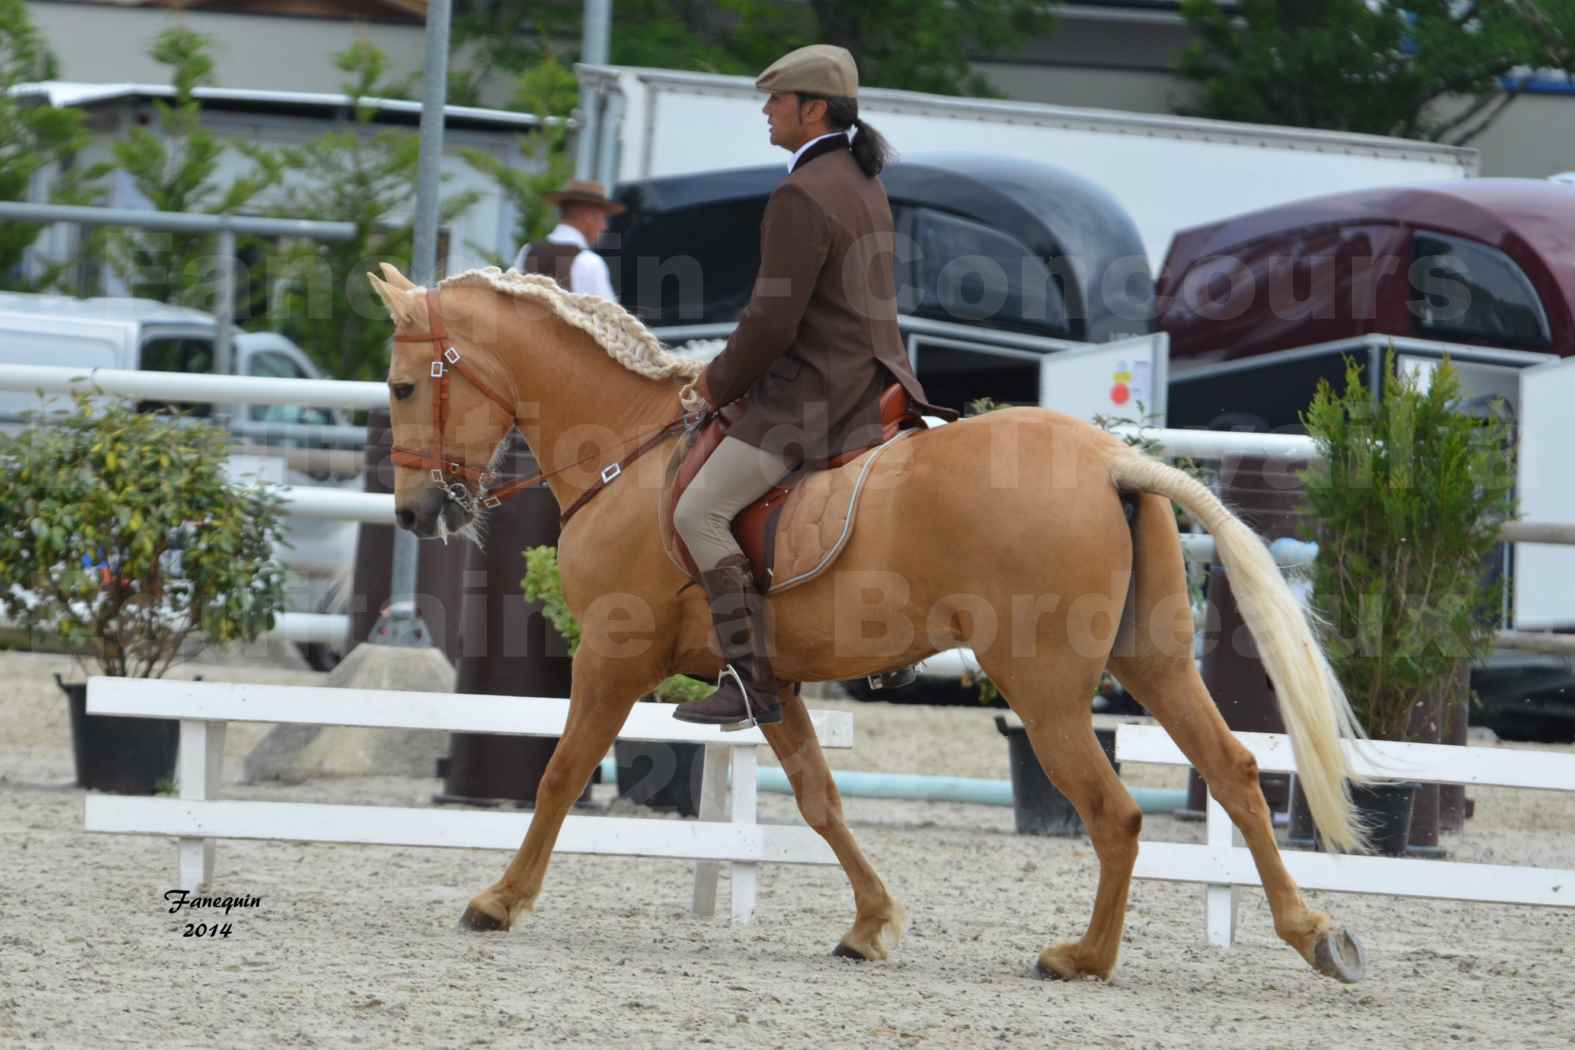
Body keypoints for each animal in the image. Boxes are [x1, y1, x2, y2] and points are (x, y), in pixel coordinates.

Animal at [368, 262, 1367, 988]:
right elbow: (819, 799)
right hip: (1153, 663)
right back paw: (1315, 934)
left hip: (1043, 691)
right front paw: (872, 923)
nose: (416, 515)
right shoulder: (769, 681)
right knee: (1233, 774)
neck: (629, 448)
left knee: (1114, 812)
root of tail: (1112, 461)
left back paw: (1083, 958)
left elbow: (561, 775)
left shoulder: (613, 659)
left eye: (404, 386)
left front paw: (498, 901)